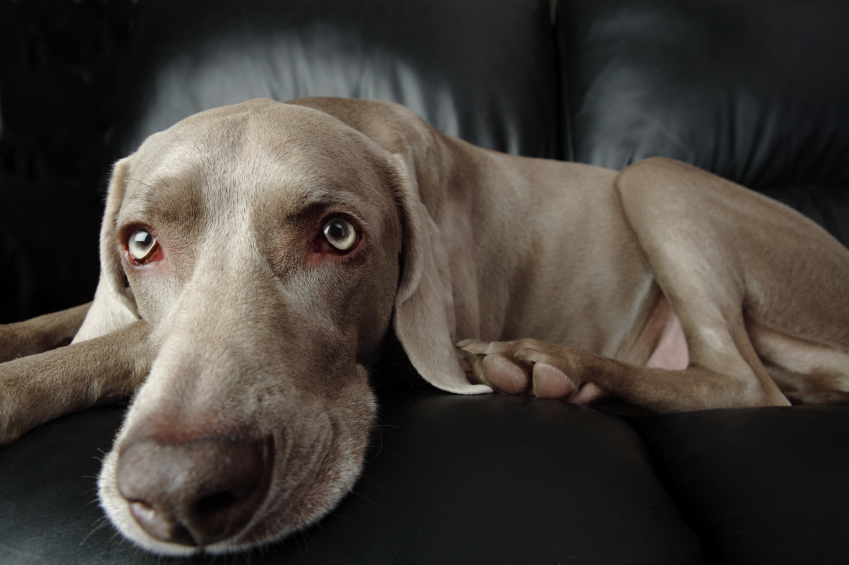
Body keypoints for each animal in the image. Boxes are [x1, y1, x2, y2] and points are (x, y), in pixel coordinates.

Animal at [4, 98, 848, 556]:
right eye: (140, 242)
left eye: (338, 234)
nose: (179, 489)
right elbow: (76, 320)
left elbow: (119, 343)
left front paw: (15, 389)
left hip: (657, 176)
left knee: (745, 381)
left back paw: (550, 365)